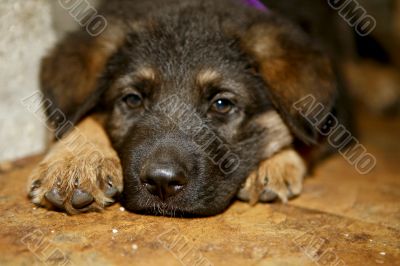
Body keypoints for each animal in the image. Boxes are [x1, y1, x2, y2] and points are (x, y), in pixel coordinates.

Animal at [28, 0, 352, 216]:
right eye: (132, 100)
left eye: (221, 104)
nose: (162, 182)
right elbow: (78, 119)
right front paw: (75, 163)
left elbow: (306, 138)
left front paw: (276, 163)